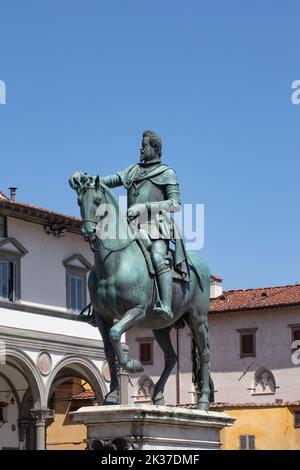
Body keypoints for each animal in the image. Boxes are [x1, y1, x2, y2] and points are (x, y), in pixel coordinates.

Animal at [70, 171, 211, 410]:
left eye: (97, 201)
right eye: (79, 201)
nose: (88, 232)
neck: (115, 261)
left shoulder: (136, 310)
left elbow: (116, 334)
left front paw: (133, 364)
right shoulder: (102, 317)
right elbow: (109, 351)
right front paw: (113, 396)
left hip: (197, 320)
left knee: (205, 353)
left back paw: (203, 403)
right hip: (161, 327)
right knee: (172, 358)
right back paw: (158, 396)